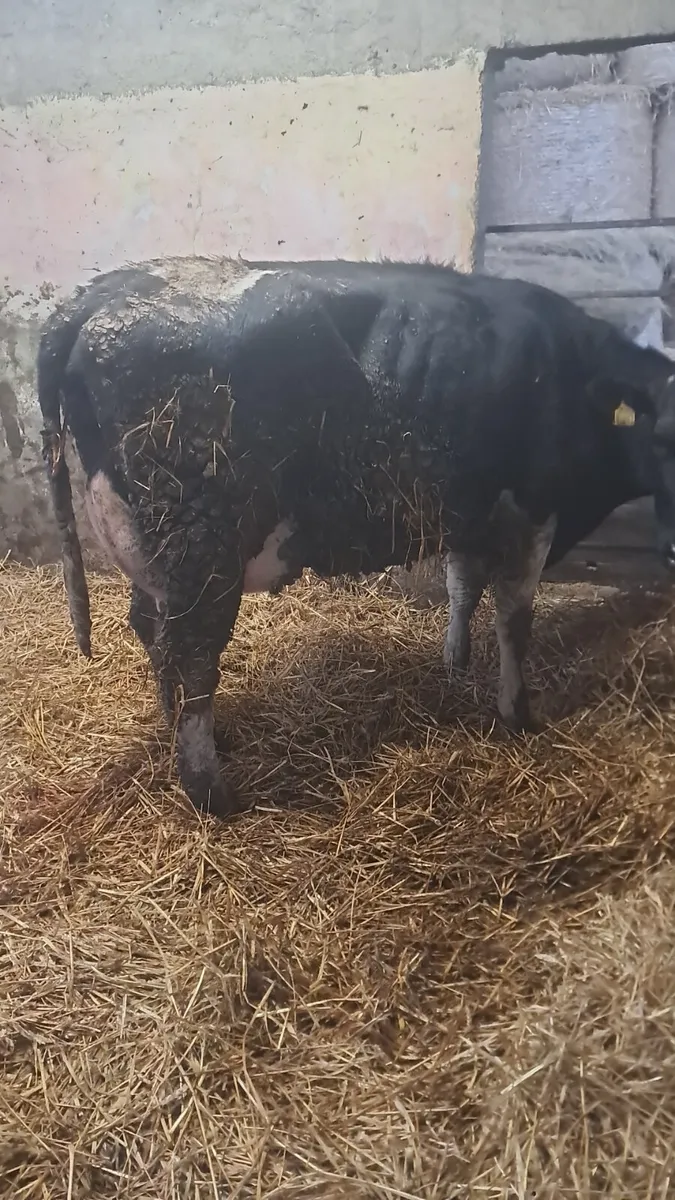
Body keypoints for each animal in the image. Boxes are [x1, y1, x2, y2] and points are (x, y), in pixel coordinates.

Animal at [36, 256, 675, 817]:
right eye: (663, 436)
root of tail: (103, 290)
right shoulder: (533, 507)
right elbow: (515, 619)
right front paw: (518, 714)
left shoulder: (467, 505)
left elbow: (462, 587)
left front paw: (456, 662)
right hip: (202, 545)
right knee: (192, 656)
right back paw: (212, 792)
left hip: (152, 546)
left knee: (151, 631)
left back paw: (184, 732)